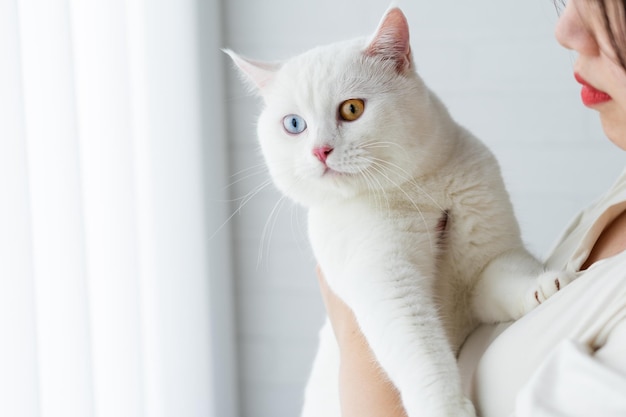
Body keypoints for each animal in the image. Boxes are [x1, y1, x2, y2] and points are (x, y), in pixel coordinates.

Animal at [228, 7, 572, 416]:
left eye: (352, 109)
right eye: (294, 124)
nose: (320, 151)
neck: (417, 191)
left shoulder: (487, 262)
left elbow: (511, 275)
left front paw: (545, 286)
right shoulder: (387, 287)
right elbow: (423, 356)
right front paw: (447, 408)